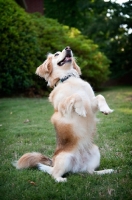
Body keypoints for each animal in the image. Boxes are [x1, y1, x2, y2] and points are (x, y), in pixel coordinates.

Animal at [13, 46, 114, 182]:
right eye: (56, 54)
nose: (68, 48)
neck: (68, 78)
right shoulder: (63, 107)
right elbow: (76, 96)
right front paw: (80, 110)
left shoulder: (91, 106)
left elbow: (100, 96)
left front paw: (106, 109)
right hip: (64, 158)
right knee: (53, 174)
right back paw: (61, 180)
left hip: (95, 151)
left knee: (90, 172)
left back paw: (105, 171)